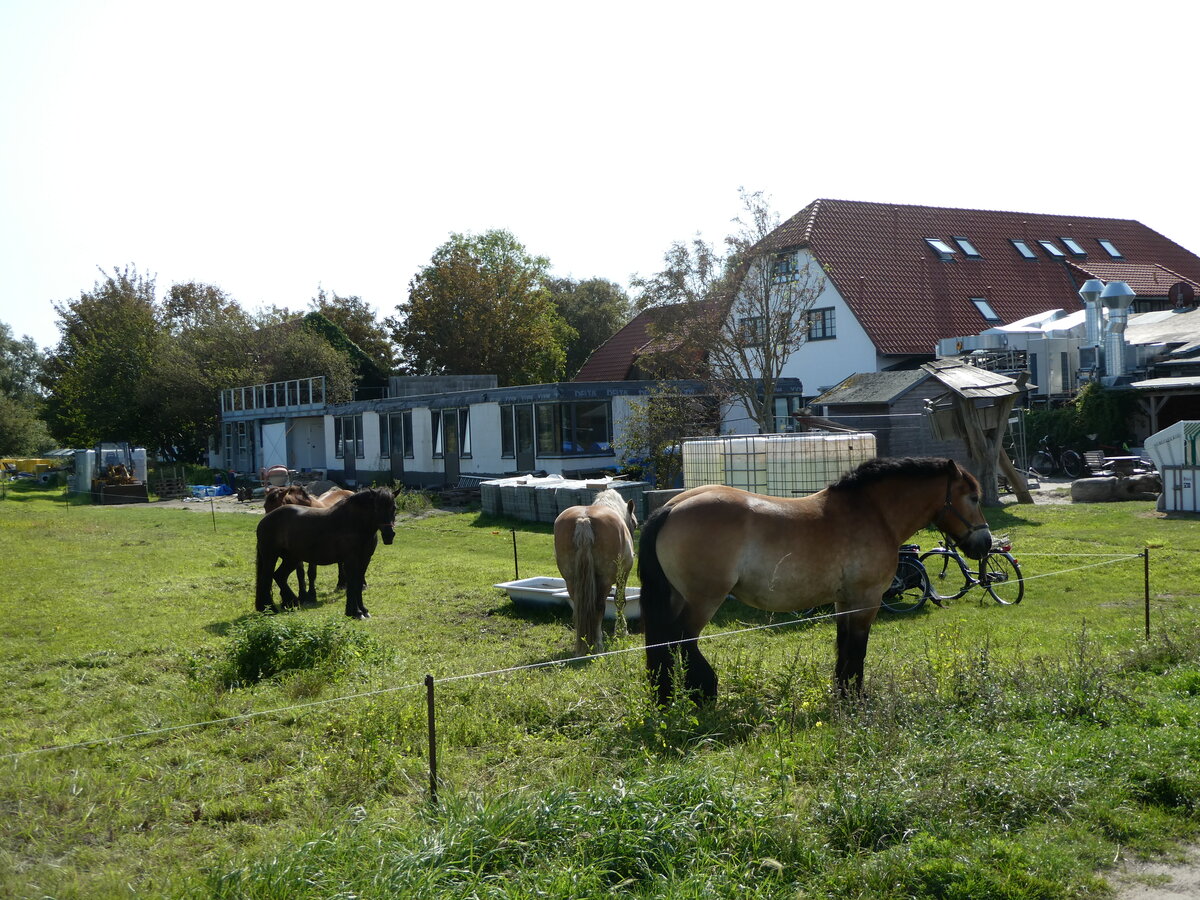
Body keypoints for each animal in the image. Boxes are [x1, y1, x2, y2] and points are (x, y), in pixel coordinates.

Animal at [255, 487, 397, 619]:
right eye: (377, 508)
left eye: (394, 508)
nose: (389, 535)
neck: (354, 523)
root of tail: (265, 520)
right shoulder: (351, 560)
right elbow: (352, 583)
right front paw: (355, 612)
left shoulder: (365, 559)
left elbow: (358, 583)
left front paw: (363, 610)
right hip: (271, 557)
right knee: (266, 579)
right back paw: (271, 608)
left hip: (291, 559)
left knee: (279, 576)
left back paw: (290, 602)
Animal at [553, 488, 638, 654]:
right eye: (635, 524)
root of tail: (583, 520)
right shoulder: (623, 575)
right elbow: (620, 601)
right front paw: (621, 631)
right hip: (605, 580)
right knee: (598, 607)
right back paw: (597, 645)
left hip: (571, 580)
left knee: (579, 607)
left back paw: (581, 645)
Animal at [638, 457, 991, 703]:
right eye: (973, 497)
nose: (985, 544)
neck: (873, 512)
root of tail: (671, 507)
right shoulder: (866, 601)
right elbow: (857, 651)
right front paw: (857, 699)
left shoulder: (844, 601)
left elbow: (844, 648)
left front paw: (843, 694)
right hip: (704, 600)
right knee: (681, 641)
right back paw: (704, 692)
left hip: (677, 597)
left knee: (664, 643)